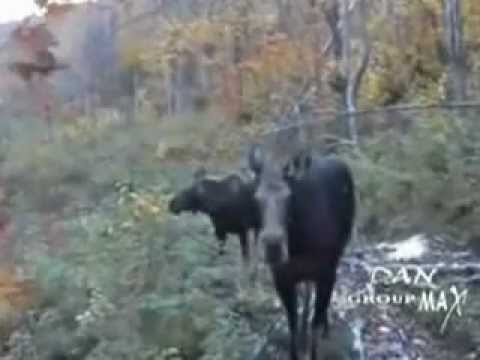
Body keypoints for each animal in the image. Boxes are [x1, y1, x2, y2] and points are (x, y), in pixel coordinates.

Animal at [249, 145, 354, 360]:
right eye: (256, 197)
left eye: (289, 196)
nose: (273, 246)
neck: (299, 243)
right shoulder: (282, 278)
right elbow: (293, 323)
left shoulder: (326, 274)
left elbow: (316, 322)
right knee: (306, 295)